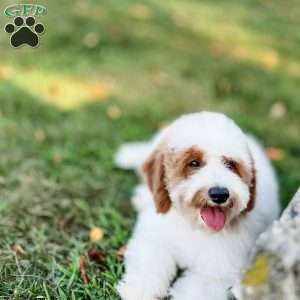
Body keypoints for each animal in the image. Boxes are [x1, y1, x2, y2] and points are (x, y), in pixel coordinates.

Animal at [114, 112, 278, 300]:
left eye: (230, 165)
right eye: (194, 163)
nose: (219, 194)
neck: (195, 227)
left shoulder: (216, 271)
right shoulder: (155, 239)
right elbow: (150, 262)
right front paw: (138, 289)